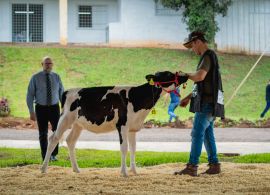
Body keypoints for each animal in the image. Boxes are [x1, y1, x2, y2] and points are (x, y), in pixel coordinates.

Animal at [41, 71, 188, 177]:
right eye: (168, 74)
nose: (185, 75)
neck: (137, 99)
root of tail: (67, 91)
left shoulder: (132, 128)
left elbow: (133, 148)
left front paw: (135, 171)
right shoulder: (122, 126)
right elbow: (124, 148)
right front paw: (124, 173)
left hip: (78, 124)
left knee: (70, 141)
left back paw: (76, 169)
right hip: (65, 119)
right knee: (53, 139)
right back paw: (43, 169)